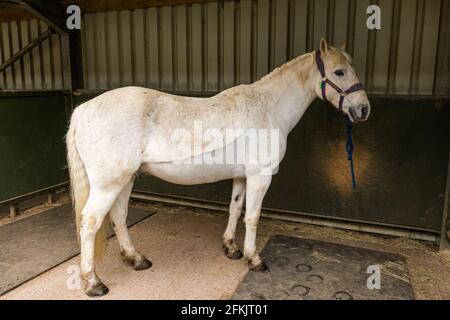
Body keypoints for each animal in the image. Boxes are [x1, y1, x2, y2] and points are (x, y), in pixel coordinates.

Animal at [66, 38, 370, 296]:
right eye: (340, 71)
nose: (364, 109)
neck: (267, 110)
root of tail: (83, 110)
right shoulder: (260, 177)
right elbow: (253, 217)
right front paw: (254, 259)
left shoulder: (242, 177)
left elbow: (235, 210)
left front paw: (231, 248)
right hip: (108, 184)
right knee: (90, 223)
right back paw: (94, 282)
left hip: (125, 180)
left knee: (118, 216)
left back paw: (136, 259)